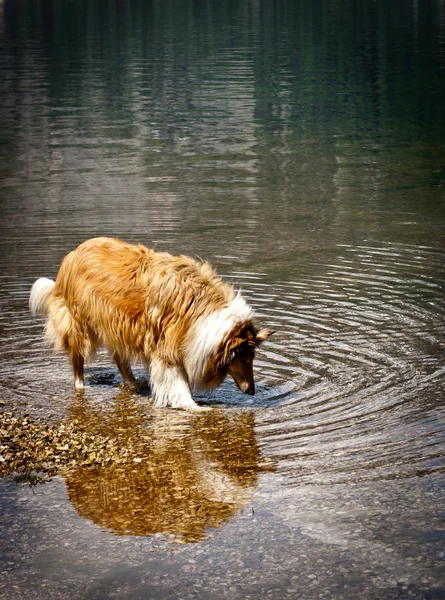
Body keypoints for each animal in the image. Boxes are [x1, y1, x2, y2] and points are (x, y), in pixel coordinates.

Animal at [29, 237, 272, 410]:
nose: (252, 392)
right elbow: (178, 385)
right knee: (78, 359)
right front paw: (192, 406)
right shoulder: (166, 349)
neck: (200, 307)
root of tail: (73, 253)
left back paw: (133, 383)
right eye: (244, 360)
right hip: (79, 325)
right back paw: (81, 386)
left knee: (120, 360)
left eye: (251, 359)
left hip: (116, 327)